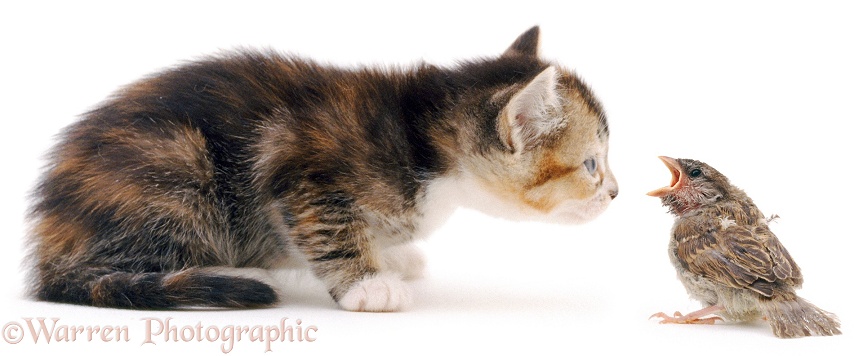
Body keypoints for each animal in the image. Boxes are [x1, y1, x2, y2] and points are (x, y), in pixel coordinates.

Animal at [30, 27, 616, 312]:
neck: (422, 139)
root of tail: (46, 250)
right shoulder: (302, 172)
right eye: (591, 164)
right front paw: (368, 286)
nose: (615, 192)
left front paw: (390, 257)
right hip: (176, 165)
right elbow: (330, 229)